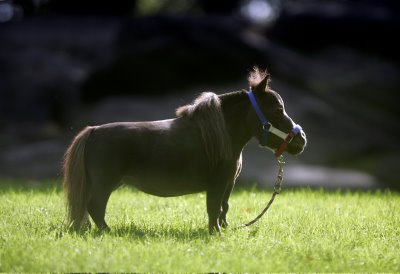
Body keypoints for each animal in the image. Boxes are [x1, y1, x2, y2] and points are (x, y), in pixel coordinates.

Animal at [63, 67, 306, 233]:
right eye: (278, 109)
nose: (301, 139)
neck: (222, 134)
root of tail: (93, 131)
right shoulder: (217, 183)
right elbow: (214, 208)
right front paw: (215, 233)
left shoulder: (228, 183)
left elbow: (224, 207)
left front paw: (223, 229)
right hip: (104, 184)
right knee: (95, 207)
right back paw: (109, 232)